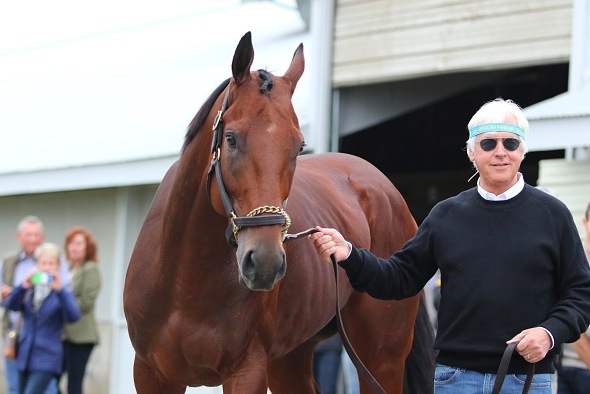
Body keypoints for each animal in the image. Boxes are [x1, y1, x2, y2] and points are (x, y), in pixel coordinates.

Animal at [123, 31, 434, 394]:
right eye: (231, 138)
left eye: (299, 146)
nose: (265, 262)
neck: (184, 280)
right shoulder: (151, 373)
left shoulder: (248, 371)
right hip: (290, 359)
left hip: (380, 358)